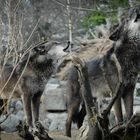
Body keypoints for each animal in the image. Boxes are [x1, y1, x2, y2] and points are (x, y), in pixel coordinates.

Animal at [65, 5, 140, 137]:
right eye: (126, 19)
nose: (135, 7)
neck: (129, 57)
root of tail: (71, 69)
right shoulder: (116, 94)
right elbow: (120, 117)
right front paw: (120, 129)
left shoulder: (129, 91)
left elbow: (129, 114)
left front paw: (129, 128)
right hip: (75, 102)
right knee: (68, 121)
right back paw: (68, 136)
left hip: (89, 102)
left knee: (80, 119)